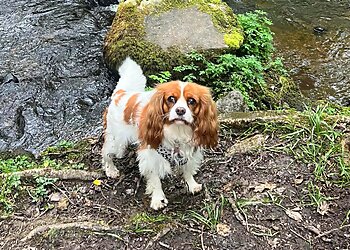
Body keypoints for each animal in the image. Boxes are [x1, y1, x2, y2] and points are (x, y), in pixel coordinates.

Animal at [100, 57, 219, 210]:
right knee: (106, 153)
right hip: (116, 139)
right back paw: (111, 169)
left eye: (191, 101)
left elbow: (187, 169)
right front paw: (158, 199)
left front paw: (192, 185)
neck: (177, 130)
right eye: (171, 99)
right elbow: (155, 179)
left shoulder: (188, 150)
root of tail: (121, 93)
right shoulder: (150, 155)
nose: (180, 110)